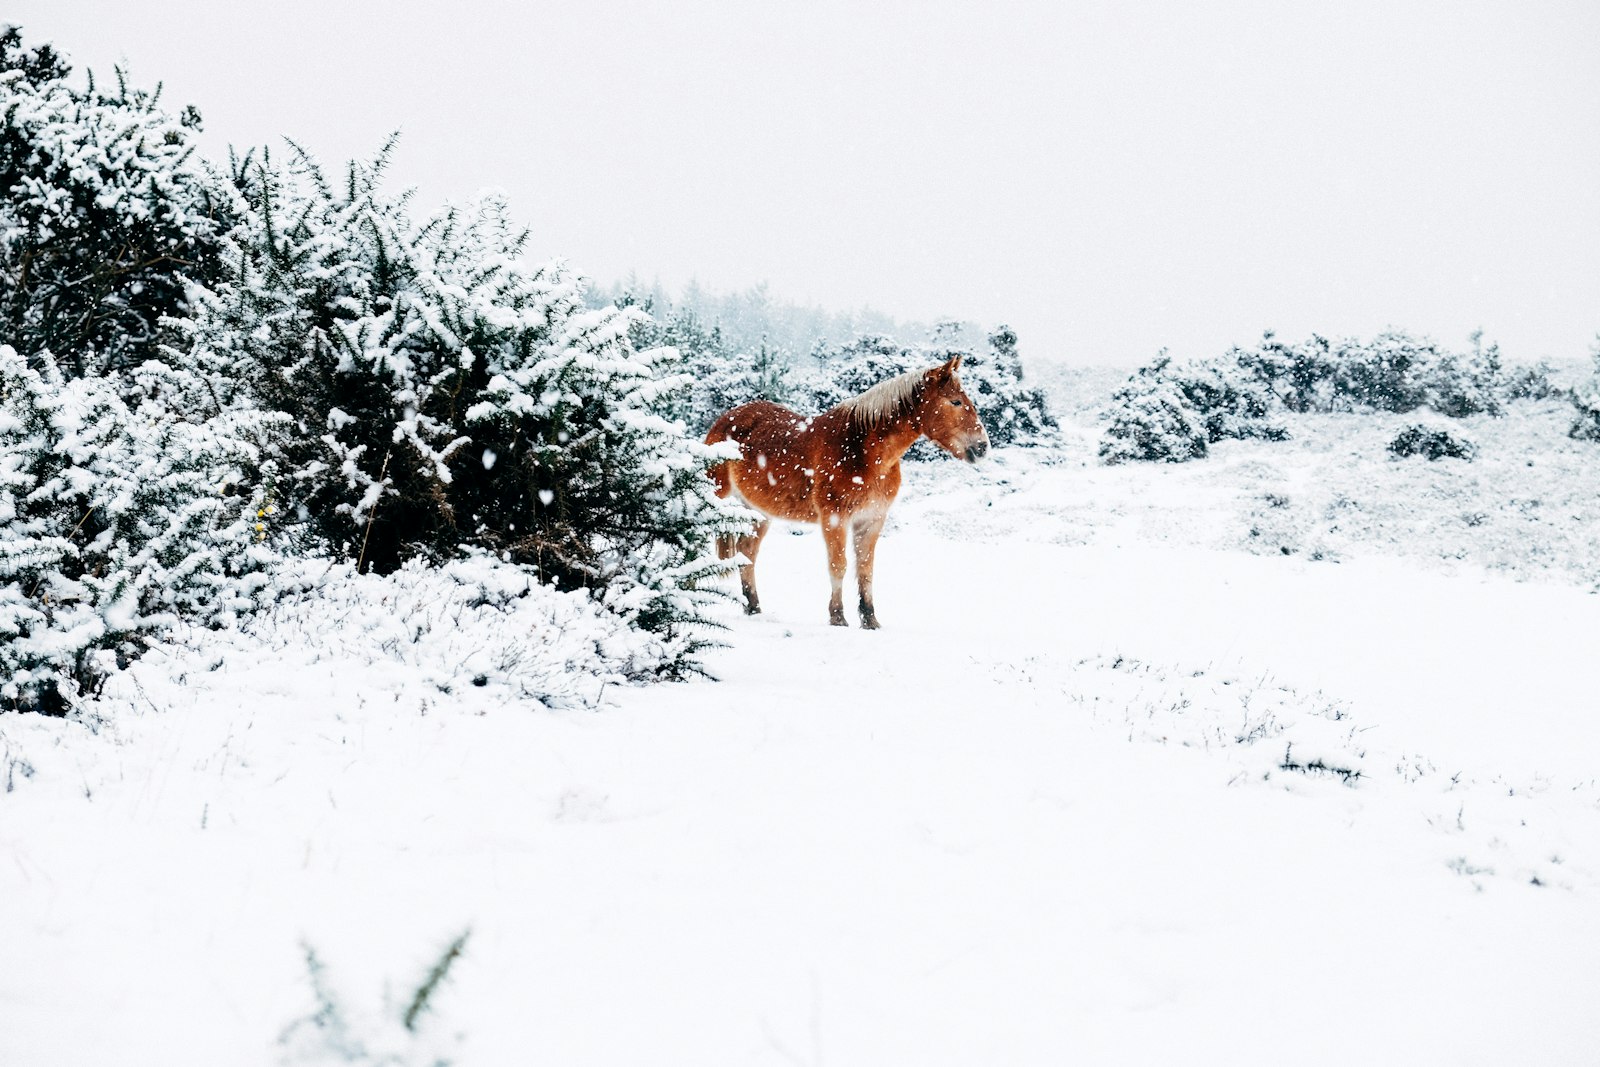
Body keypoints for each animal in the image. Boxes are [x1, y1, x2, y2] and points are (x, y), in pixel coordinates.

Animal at [710, 355, 985, 630]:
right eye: (956, 401)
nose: (982, 446)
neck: (862, 450)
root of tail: (724, 420)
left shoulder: (872, 520)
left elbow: (865, 569)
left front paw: (870, 619)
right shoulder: (835, 517)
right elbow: (838, 565)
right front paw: (838, 617)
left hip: (758, 512)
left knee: (748, 553)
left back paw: (753, 608)